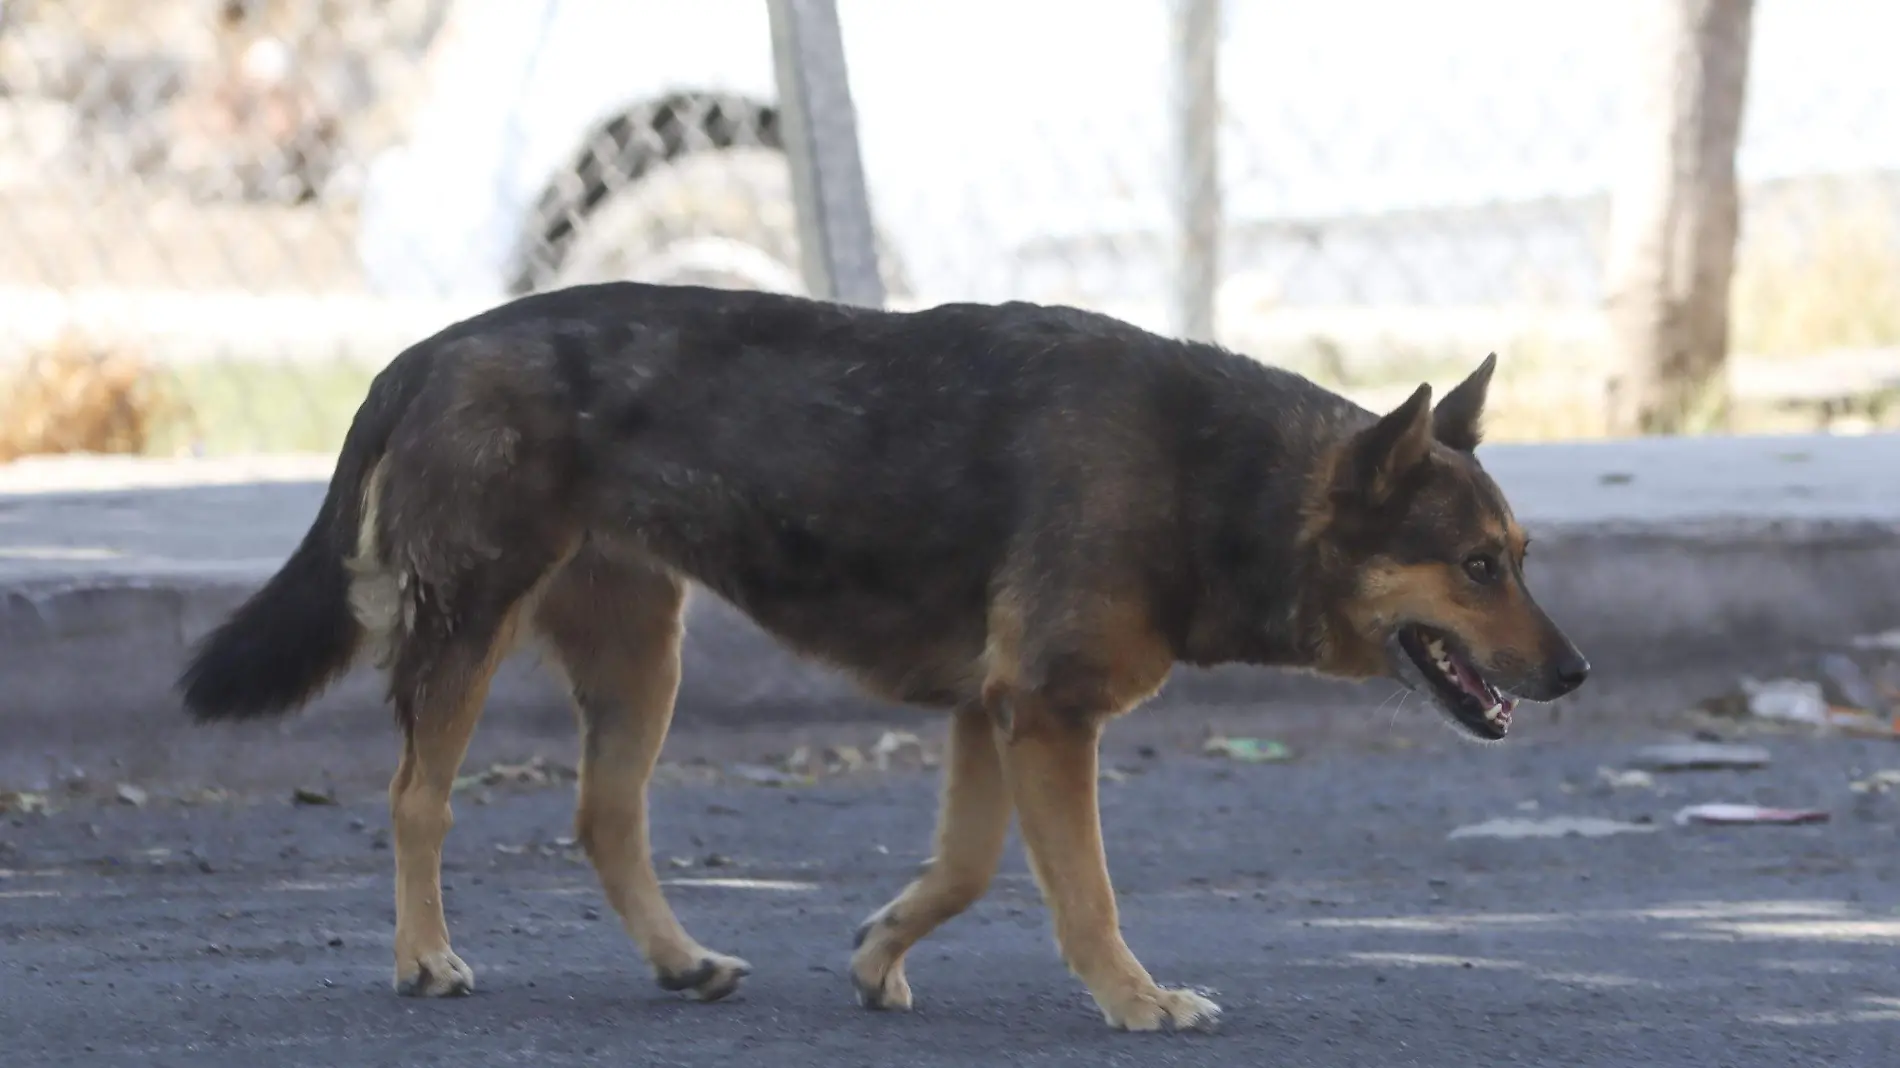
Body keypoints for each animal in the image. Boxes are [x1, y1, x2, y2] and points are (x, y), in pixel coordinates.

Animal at [178, 279, 1580, 1026]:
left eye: (1517, 555)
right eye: (1476, 567)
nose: (1575, 677)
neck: (1214, 477)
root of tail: (428, 347)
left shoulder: (991, 716)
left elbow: (962, 871)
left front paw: (876, 952)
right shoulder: (1044, 716)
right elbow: (1084, 893)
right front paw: (1133, 1000)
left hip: (641, 655)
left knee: (604, 817)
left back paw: (677, 959)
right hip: (471, 627)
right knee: (416, 797)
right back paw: (423, 958)